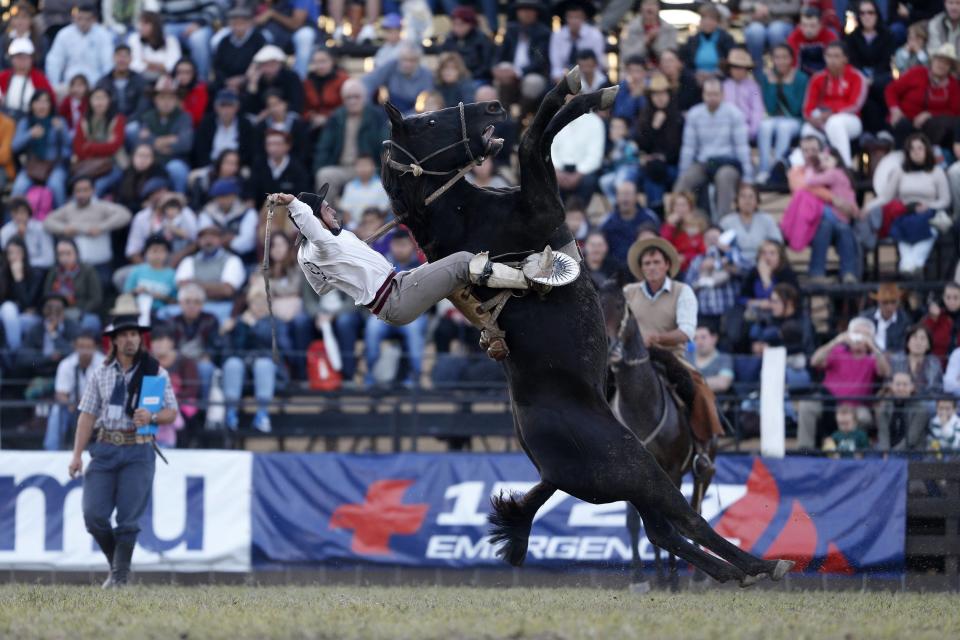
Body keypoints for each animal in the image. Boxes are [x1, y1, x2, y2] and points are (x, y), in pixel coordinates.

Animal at [600, 280, 712, 592]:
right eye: (597, 303)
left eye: (620, 305)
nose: (610, 346)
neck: (642, 407)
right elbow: (633, 523)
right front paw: (641, 577)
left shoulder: (672, 471)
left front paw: (673, 579)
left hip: (703, 470)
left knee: (697, 505)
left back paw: (695, 577)